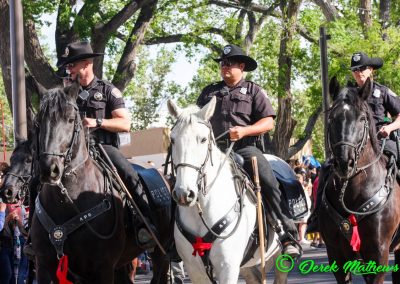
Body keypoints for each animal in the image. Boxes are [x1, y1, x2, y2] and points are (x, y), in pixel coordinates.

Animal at [21, 82, 172, 284]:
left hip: (160, 253)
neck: (67, 201)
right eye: (38, 122)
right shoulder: (45, 265)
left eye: (70, 119)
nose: (49, 169)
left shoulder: (102, 268)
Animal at [166, 98, 288, 284]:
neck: (202, 211)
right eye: (172, 139)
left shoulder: (227, 267)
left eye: (203, 139)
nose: (184, 193)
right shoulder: (195, 271)